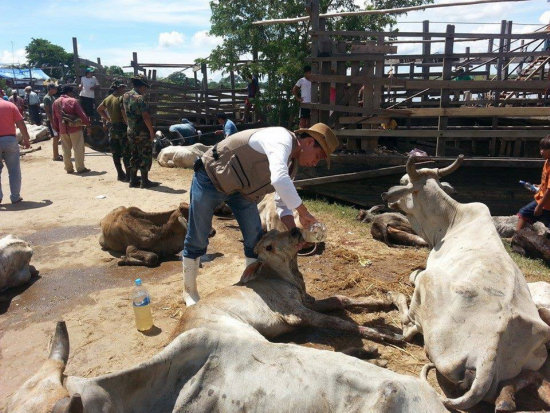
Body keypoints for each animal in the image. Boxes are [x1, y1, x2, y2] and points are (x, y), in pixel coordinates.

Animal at [5, 230, 452, 410]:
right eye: (267, 244)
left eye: (282, 232)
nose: (297, 231)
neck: (285, 277)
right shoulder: (300, 312)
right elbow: (345, 324)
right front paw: (385, 336)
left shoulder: (312, 300)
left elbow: (345, 299)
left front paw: (382, 302)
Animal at [384, 155, 550, 412]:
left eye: (403, 181)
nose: (387, 194)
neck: (450, 221)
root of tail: (489, 350)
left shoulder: (426, 271)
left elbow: (414, 277)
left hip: (427, 296)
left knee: (409, 327)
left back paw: (395, 297)